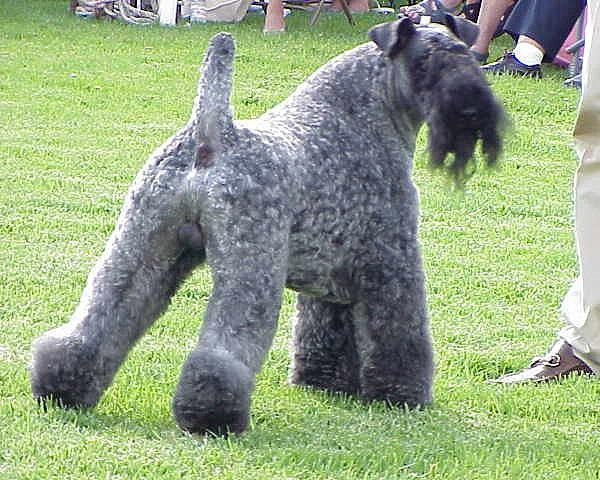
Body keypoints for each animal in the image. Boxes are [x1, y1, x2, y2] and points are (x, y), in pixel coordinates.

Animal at [30, 15, 504, 436]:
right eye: (424, 62)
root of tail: (208, 137)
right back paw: (212, 416)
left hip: (141, 246)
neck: (360, 119)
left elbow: (323, 327)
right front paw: (400, 395)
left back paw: (61, 387)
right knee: (224, 346)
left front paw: (323, 382)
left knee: (99, 319)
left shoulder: (330, 271)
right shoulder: (390, 262)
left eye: (466, 55)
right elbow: (400, 331)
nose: (472, 108)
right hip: (250, 267)